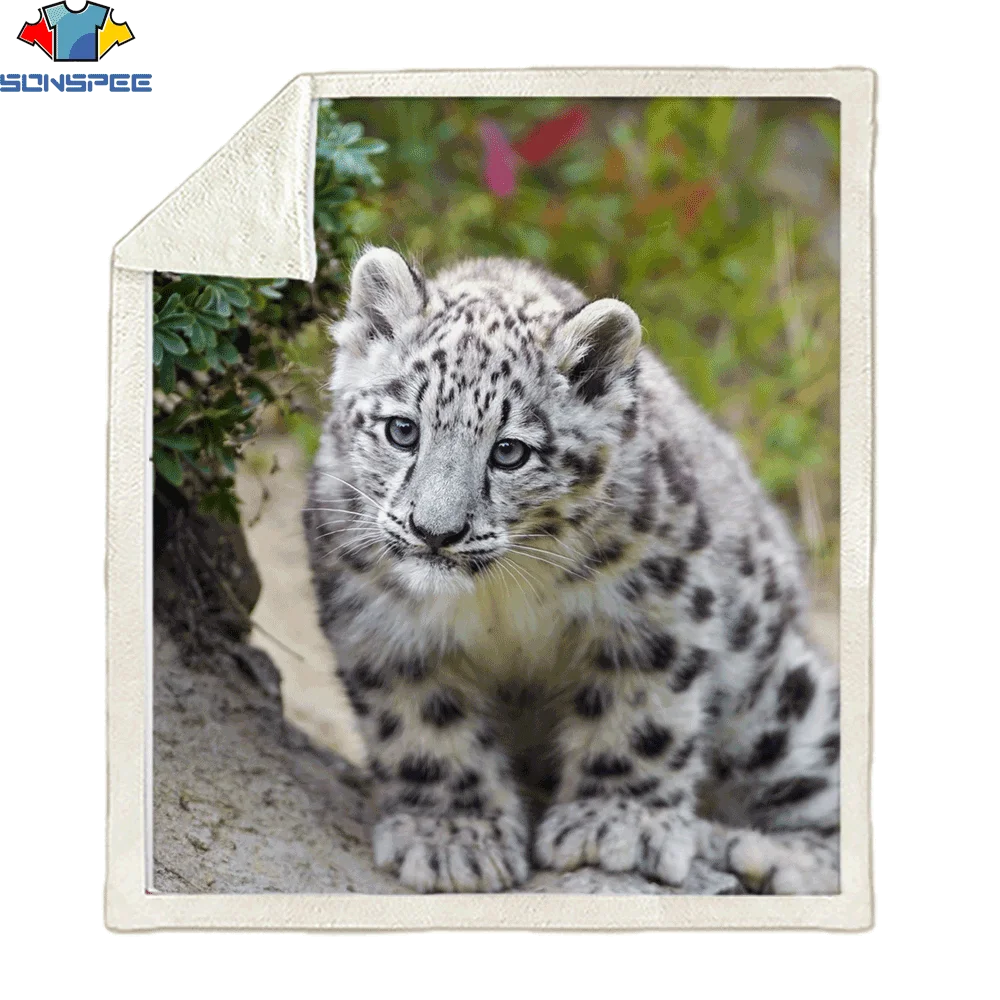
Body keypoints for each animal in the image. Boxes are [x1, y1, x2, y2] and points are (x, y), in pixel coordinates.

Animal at [303, 246, 840, 894]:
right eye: (402, 429)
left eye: (510, 451)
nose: (436, 531)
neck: (497, 599)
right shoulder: (381, 621)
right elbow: (424, 726)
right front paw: (454, 837)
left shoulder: (655, 606)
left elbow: (641, 717)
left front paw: (616, 825)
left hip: (781, 699)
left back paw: (763, 852)